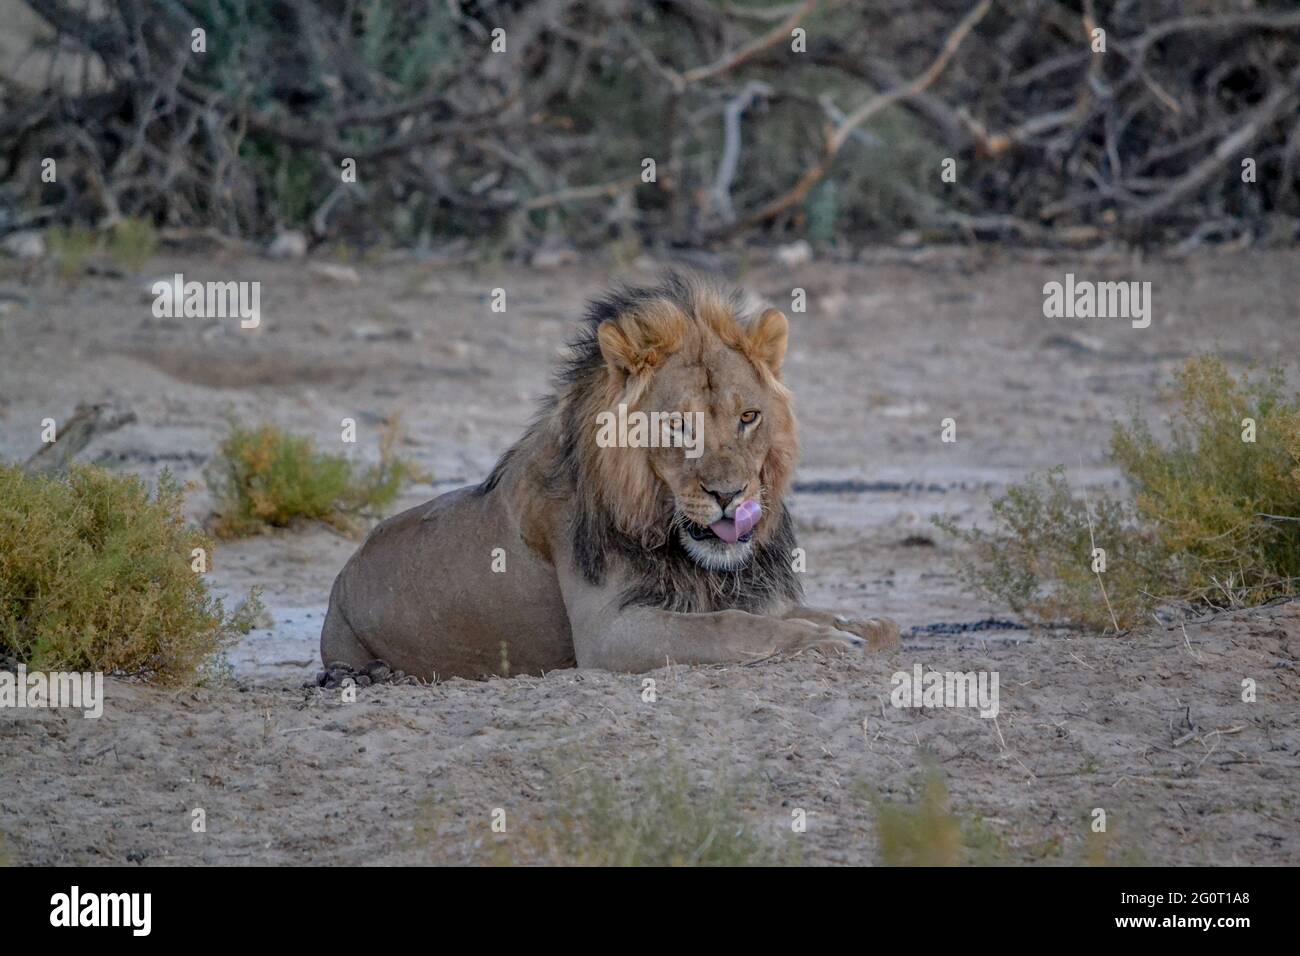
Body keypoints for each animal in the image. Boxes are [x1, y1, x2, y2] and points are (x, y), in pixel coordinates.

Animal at [319, 274, 899, 681]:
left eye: (749, 417)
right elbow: (733, 625)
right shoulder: (611, 634)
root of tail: (341, 576)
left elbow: (858, 621)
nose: (730, 495)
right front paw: (826, 640)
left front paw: (855, 626)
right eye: (677, 425)